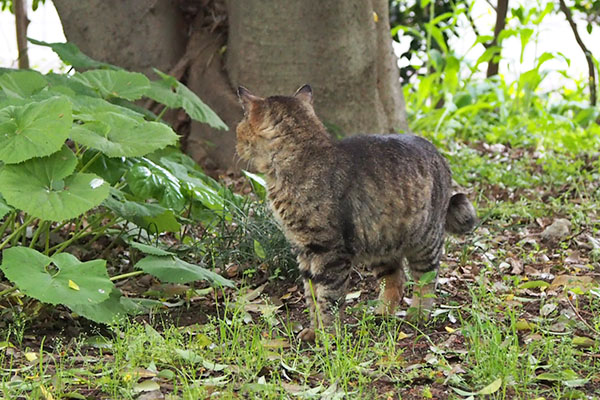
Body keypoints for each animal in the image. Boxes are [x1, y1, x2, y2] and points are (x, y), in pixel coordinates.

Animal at [237, 84, 476, 340]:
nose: (237, 141)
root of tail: (438, 154)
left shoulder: (330, 253)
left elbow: (328, 299)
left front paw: (327, 337)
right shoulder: (304, 251)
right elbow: (312, 297)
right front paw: (313, 331)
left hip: (424, 243)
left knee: (427, 281)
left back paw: (417, 315)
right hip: (381, 243)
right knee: (396, 280)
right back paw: (381, 315)